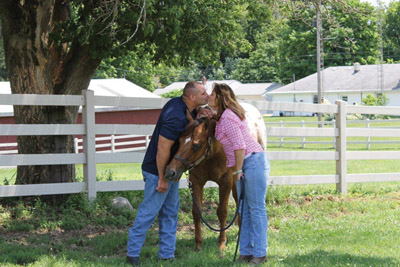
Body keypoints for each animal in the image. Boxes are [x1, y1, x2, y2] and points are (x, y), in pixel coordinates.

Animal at [163, 116, 236, 252]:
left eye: (196, 146)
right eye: (179, 141)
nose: (170, 172)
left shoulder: (226, 181)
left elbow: (222, 212)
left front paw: (222, 243)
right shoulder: (196, 182)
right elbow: (196, 213)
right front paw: (198, 245)